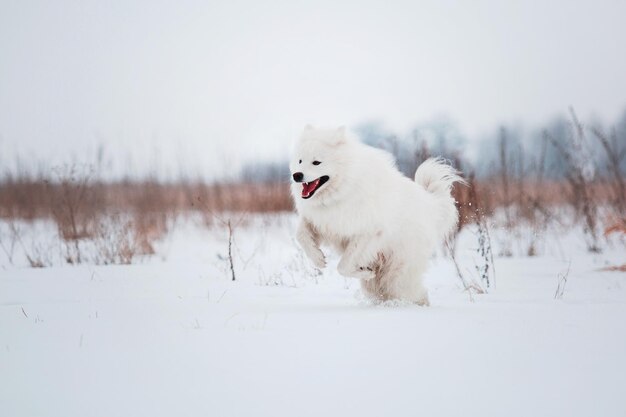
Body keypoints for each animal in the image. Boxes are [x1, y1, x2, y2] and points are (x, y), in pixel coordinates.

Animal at [288, 125, 464, 304]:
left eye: (316, 162)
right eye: (300, 161)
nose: (297, 175)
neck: (343, 189)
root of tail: (431, 204)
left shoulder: (368, 233)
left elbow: (343, 266)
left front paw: (365, 272)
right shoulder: (321, 222)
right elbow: (301, 236)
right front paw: (318, 259)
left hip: (399, 273)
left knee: (414, 292)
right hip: (381, 279)